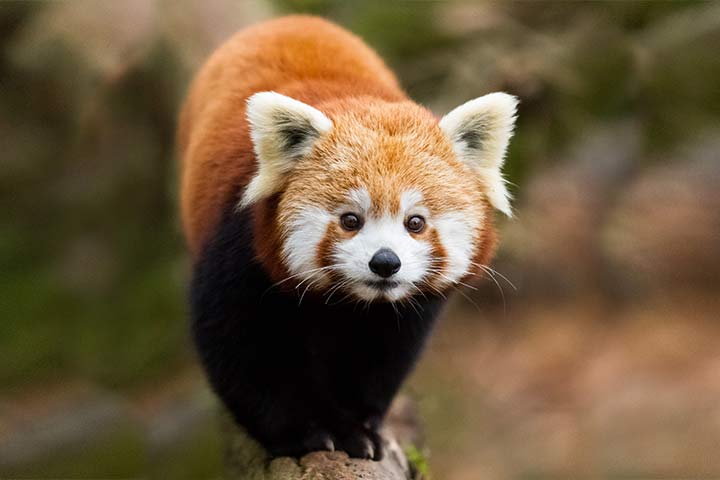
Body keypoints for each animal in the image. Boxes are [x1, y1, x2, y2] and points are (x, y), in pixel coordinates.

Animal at [180, 15, 516, 462]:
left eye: (415, 222)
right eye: (350, 220)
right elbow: (245, 351)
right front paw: (304, 431)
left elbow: (380, 358)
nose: (385, 262)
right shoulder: (239, 251)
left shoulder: (403, 313)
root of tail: (292, 20)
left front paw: (357, 426)